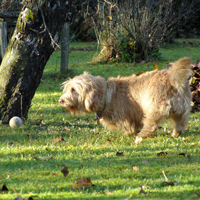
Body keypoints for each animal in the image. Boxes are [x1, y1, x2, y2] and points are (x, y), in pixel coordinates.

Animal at [59, 57, 192, 144]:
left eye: (73, 89)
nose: (60, 100)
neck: (106, 94)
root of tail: (173, 79)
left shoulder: (126, 116)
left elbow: (129, 127)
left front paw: (129, 133)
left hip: (153, 108)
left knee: (151, 125)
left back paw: (140, 136)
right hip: (182, 110)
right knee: (180, 124)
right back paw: (175, 133)